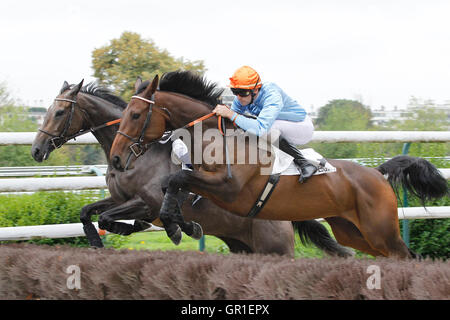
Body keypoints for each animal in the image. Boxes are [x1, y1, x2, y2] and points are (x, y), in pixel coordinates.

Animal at [30, 80, 352, 258]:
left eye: (60, 112)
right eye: (46, 111)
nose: (36, 149)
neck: (138, 156)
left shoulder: (147, 202)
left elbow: (116, 217)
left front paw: (174, 228)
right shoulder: (120, 199)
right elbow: (90, 213)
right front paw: (99, 241)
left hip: (274, 247)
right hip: (242, 246)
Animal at [110, 71, 450, 258]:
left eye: (136, 115)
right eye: (124, 113)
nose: (115, 157)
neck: (218, 139)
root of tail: (377, 173)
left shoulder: (230, 189)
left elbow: (175, 181)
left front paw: (181, 227)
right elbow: (173, 183)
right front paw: (178, 225)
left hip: (380, 230)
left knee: (406, 255)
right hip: (354, 232)